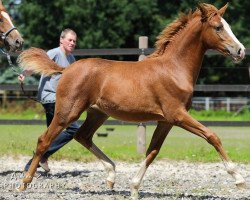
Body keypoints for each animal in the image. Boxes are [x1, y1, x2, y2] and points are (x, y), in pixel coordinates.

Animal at [18, 2, 246, 199]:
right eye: (218, 27)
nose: (240, 50)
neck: (174, 70)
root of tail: (66, 69)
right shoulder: (178, 115)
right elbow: (212, 136)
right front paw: (239, 179)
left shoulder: (165, 121)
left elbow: (153, 150)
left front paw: (134, 188)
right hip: (68, 111)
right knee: (44, 140)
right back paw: (24, 183)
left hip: (98, 113)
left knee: (83, 136)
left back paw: (111, 176)